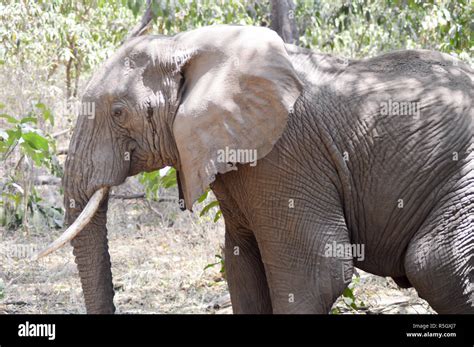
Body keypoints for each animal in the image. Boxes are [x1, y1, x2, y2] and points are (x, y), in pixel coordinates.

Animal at [34, 25, 474, 316]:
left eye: (118, 113)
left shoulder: (287, 154)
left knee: (434, 264)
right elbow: (240, 265)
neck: (185, 44)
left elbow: (315, 274)